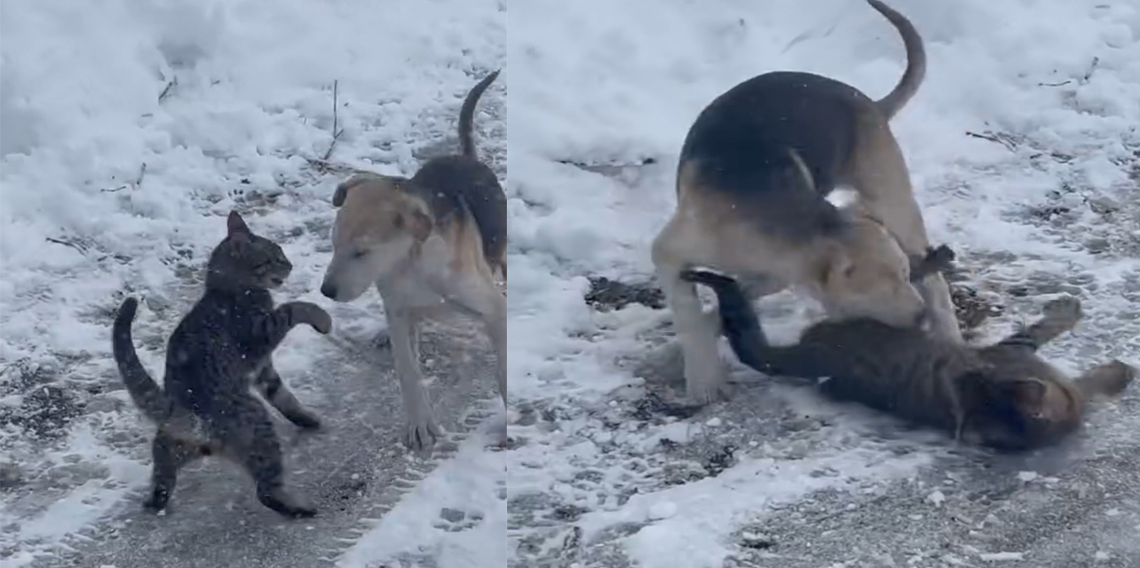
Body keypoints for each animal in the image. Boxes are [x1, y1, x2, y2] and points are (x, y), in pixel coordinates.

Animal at [111, 211, 332, 517]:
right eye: (274, 257)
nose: (289, 264)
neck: (226, 288)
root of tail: (184, 411)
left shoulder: (263, 369)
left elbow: (284, 397)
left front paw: (306, 418)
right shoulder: (259, 336)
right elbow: (293, 307)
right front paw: (321, 317)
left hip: (176, 446)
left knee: (162, 463)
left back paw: (156, 499)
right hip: (258, 420)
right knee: (266, 491)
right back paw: (299, 507)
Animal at [679, 248, 1135, 451]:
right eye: (967, 378)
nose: (963, 366)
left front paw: (1117, 371)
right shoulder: (1018, 350)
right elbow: (1050, 328)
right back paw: (934, 260)